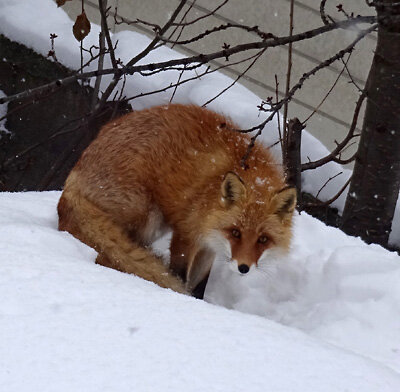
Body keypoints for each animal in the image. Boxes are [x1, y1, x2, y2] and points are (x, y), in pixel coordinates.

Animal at [59, 104, 296, 298]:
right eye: (236, 232)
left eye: (263, 239)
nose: (243, 268)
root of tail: (69, 183)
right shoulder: (186, 232)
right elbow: (179, 275)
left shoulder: (210, 245)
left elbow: (199, 285)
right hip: (148, 217)